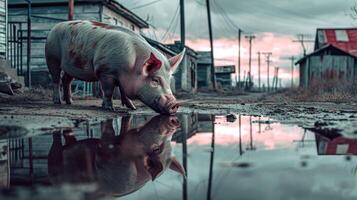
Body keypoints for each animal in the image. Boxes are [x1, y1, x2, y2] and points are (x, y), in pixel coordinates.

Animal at [44, 20, 185, 115]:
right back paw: (57, 102)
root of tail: (54, 27)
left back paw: (70, 102)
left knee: (66, 80)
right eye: (155, 80)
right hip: (52, 57)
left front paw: (132, 107)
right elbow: (108, 91)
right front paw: (109, 108)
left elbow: (123, 91)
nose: (175, 104)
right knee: (56, 79)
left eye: (168, 81)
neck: (132, 66)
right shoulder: (105, 71)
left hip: (70, 67)